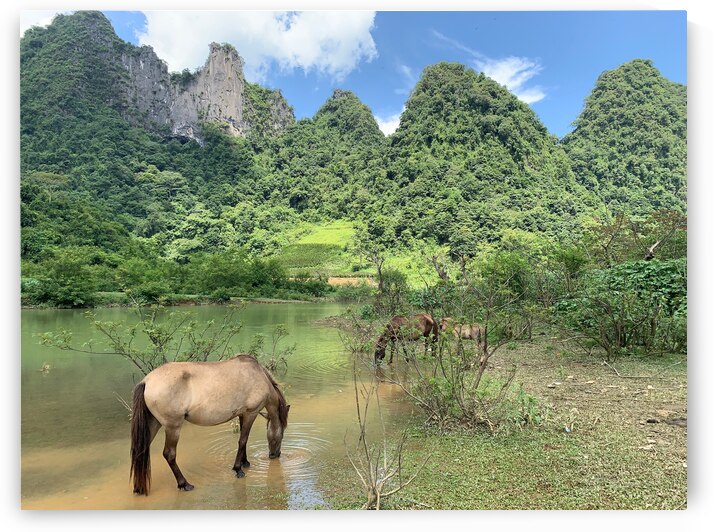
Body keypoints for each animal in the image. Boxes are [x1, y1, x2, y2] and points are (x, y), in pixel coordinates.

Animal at [130, 354, 290, 495]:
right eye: (282, 433)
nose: (275, 455)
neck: (259, 376)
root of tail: (146, 381)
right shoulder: (251, 413)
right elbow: (243, 440)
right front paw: (238, 469)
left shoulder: (242, 415)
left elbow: (243, 441)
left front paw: (245, 462)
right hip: (172, 427)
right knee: (169, 454)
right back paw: (184, 484)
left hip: (153, 424)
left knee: (140, 451)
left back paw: (138, 488)